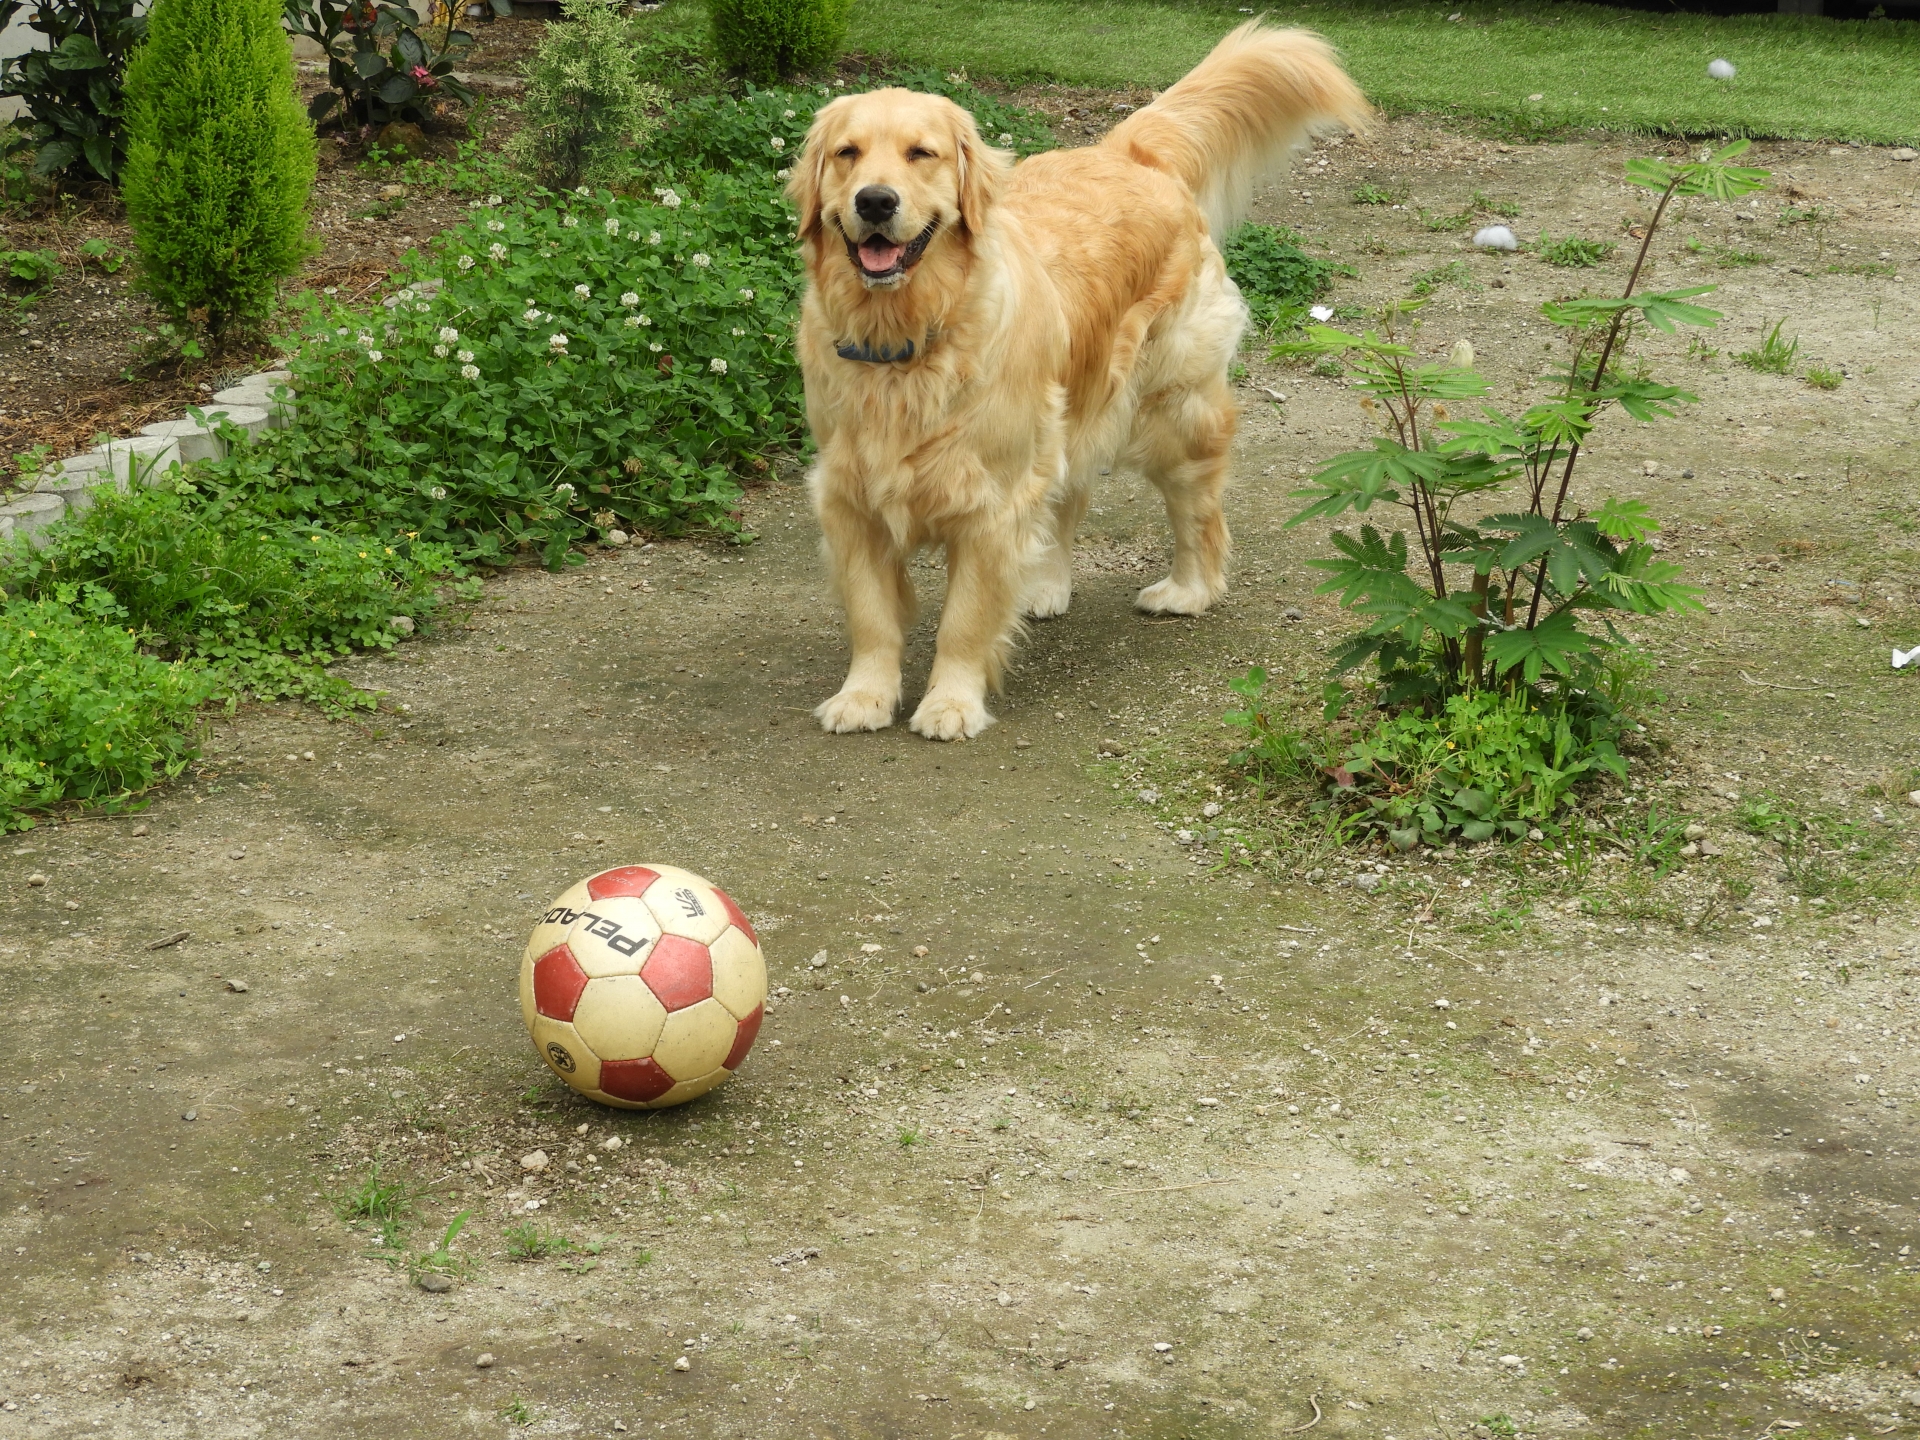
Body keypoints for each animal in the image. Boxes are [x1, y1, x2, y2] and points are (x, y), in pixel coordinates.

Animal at [787, 22, 1374, 737]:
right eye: (847, 153)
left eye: (921, 153)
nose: (875, 200)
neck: (909, 339)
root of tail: (1127, 151)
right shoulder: (849, 494)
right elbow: (872, 614)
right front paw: (864, 697)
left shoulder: (990, 500)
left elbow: (964, 621)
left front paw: (952, 703)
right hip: (1066, 414)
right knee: (1065, 497)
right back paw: (1043, 583)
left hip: (1173, 410)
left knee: (1197, 509)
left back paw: (1189, 589)